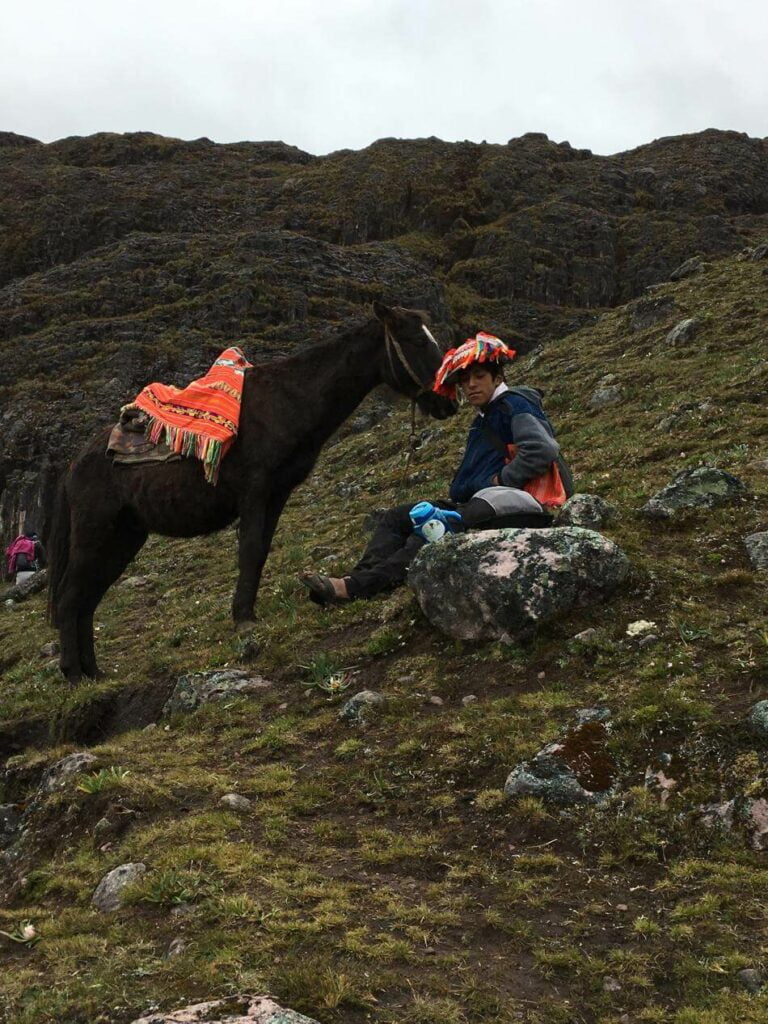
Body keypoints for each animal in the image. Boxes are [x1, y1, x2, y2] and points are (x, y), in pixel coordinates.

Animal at [46, 301, 456, 679]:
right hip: (95, 532)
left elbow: (260, 553)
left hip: (124, 537)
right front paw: (244, 620)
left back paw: (93, 673)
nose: (448, 402)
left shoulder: (277, 495)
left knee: (88, 598)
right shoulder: (255, 492)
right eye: (416, 340)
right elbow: (251, 549)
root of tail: (74, 465)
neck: (288, 401)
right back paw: (73, 674)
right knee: (71, 597)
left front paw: (247, 614)